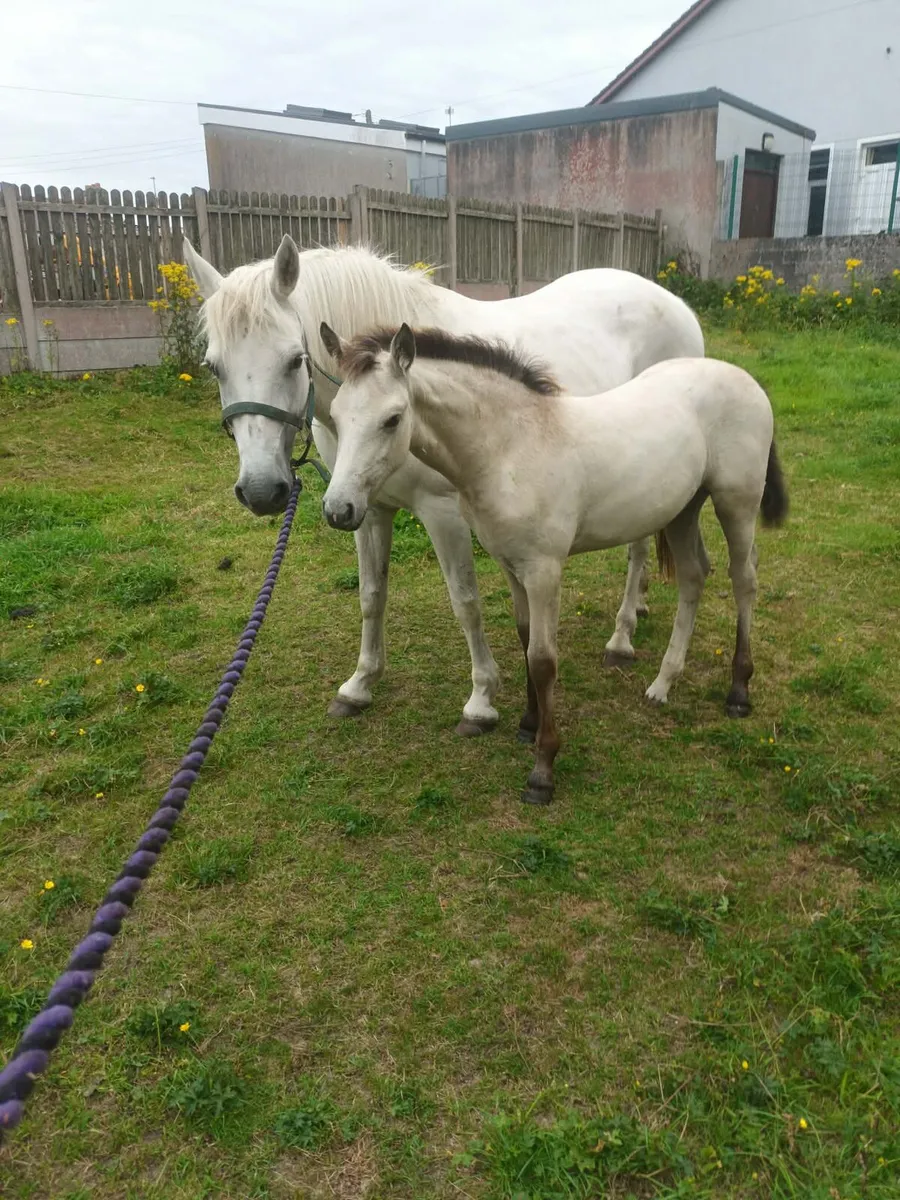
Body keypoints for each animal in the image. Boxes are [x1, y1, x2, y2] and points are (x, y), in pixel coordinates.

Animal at [183, 235, 705, 735]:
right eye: (213, 367)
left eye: (295, 360)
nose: (261, 491)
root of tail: (673, 302)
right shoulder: (366, 510)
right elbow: (371, 595)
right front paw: (360, 684)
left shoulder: (443, 513)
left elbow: (465, 602)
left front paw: (481, 700)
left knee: (638, 547)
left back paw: (621, 638)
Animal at [318, 322, 788, 807]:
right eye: (335, 414)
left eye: (392, 419)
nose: (338, 510)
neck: (510, 447)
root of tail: (744, 378)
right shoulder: (511, 566)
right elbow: (525, 638)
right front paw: (527, 724)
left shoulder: (544, 570)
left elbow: (543, 659)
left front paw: (542, 769)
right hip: (682, 510)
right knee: (694, 576)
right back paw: (663, 683)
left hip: (736, 503)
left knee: (744, 580)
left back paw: (738, 690)